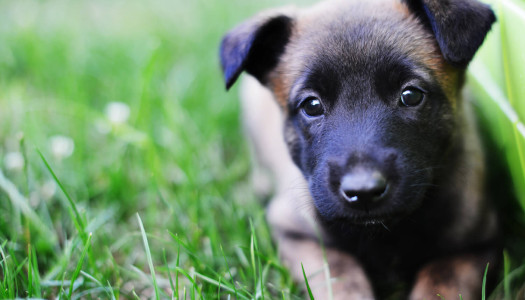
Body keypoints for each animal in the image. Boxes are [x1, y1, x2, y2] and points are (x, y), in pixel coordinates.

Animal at [219, 0, 498, 298]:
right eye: (311, 105)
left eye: (411, 95)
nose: (363, 192)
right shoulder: (296, 233)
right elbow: (341, 276)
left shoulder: (477, 245)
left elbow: (441, 284)